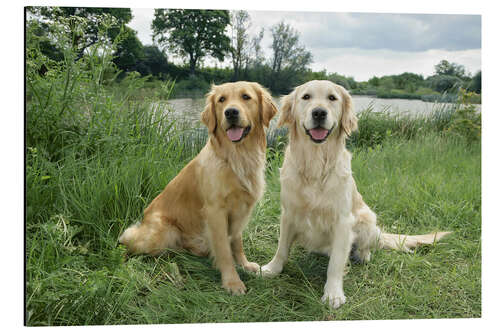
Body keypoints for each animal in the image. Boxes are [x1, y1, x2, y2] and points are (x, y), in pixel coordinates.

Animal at [119, 80, 280, 294]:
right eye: (221, 100)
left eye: (246, 97)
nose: (231, 112)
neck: (237, 157)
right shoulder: (215, 211)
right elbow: (224, 249)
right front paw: (232, 282)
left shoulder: (241, 210)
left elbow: (237, 243)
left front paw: (245, 265)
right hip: (163, 231)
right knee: (130, 241)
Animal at [262, 80, 450, 306]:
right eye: (306, 97)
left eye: (332, 98)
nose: (319, 113)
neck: (316, 164)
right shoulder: (289, 213)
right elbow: (282, 248)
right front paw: (271, 269)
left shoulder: (343, 221)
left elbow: (336, 263)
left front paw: (333, 293)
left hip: (367, 217)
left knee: (364, 246)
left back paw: (362, 255)